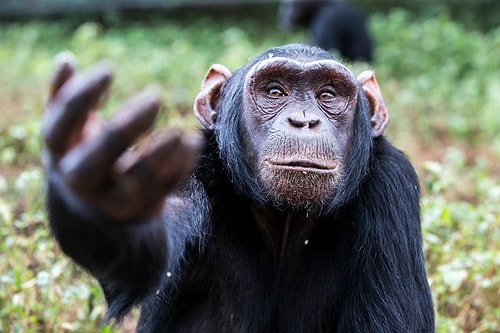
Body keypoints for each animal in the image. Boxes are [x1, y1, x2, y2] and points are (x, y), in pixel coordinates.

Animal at [43, 43, 434, 330]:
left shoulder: (392, 185)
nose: (304, 120)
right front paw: (101, 200)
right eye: (275, 91)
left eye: (328, 95)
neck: (285, 221)